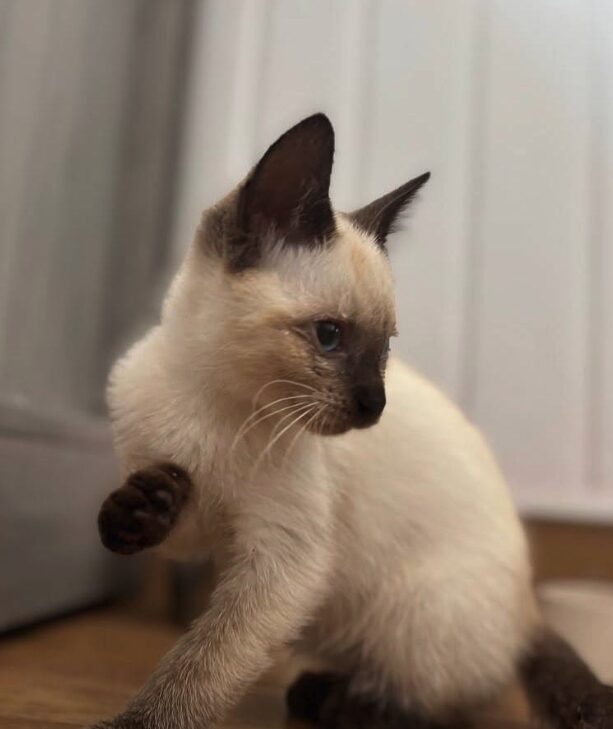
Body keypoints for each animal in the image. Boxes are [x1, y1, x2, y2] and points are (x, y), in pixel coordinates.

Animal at [94, 114, 612, 728]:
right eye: (330, 336)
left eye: (383, 348)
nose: (375, 405)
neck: (213, 403)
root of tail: (531, 611)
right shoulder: (198, 534)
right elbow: (167, 534)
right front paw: (138, 509)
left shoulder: (281, 561)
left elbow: (202, 662)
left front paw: (138, 722)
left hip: (417, 614)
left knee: (432, 704)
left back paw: (333, 700)